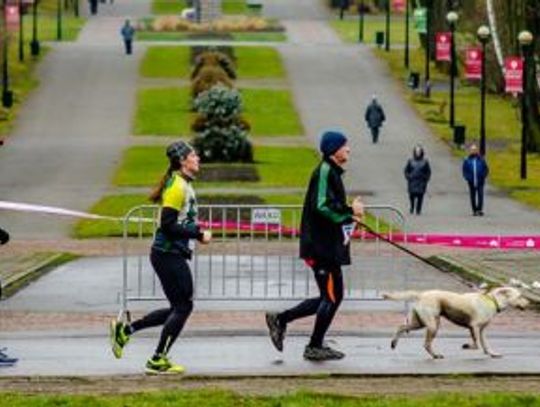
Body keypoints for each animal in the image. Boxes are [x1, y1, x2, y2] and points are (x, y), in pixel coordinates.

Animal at [382, 286, 528, 360]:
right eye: (520, 296)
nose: (529, 303)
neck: (492, 301)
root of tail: (421, 295)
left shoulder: (481, 330)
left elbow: (485, 345)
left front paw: (493, 354)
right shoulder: (474, 327)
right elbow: (476, 344)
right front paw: (467, 346)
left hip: (419, 323)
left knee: (401, 326)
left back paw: (393, 343)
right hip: (432, 325)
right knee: (426, 344)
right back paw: (436, 355)